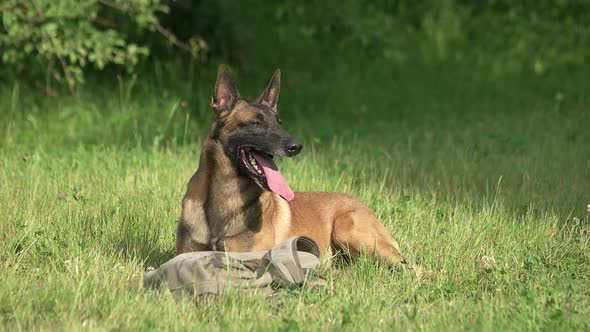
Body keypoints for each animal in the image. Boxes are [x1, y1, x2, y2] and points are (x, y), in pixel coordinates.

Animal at [176, 64, 408, 264]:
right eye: (256, 123)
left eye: (280, 122)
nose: (296, 146)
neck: (225, 196)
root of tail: (361, 203)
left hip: (349, 231)